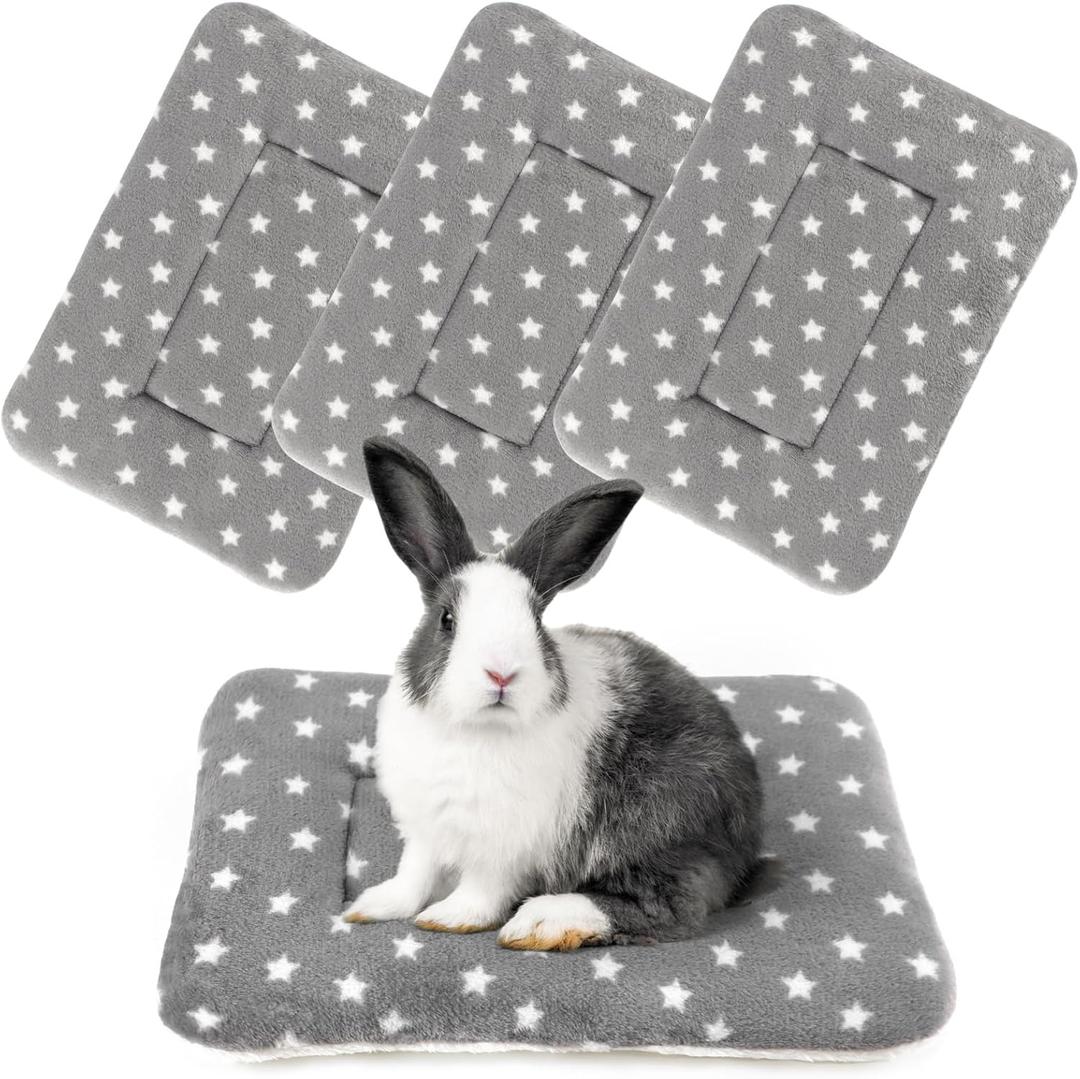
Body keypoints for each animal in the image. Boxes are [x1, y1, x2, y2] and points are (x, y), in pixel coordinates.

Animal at [342, 437, 763, 950]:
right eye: (446, 619)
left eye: (536, 621)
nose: (502, 674)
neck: (475, 730)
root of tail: (749, 835)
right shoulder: (426, 829)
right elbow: (413, 873)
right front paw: (372, 906)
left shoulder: (506, 844)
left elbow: (484, 887)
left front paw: (448, 917)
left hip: (659, 817)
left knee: (671, 905)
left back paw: (541, 923)